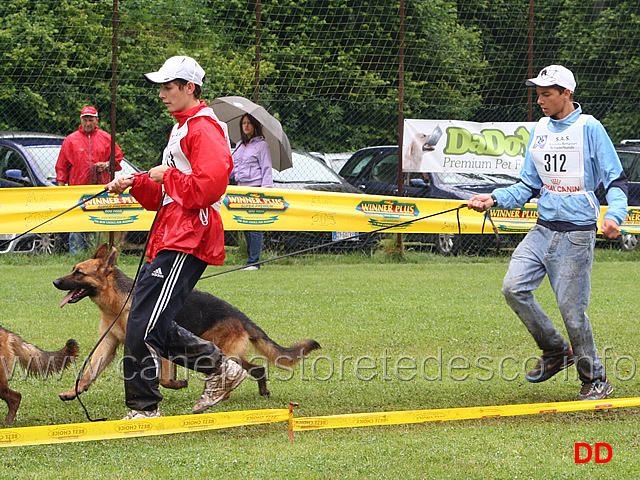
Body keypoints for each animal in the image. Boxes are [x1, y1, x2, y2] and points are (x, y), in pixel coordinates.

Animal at [52, 244, 320, 402]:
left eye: (79, 273)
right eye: (73, 269)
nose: (55, 282)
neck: (119, 300)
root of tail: (241, 316)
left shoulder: (153, 344)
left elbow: (163, 377)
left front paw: (177, 384)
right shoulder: (108, 343)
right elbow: (90, 371)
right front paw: (74, 391)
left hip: (214, 351)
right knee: (254, 368)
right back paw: (258, 390)